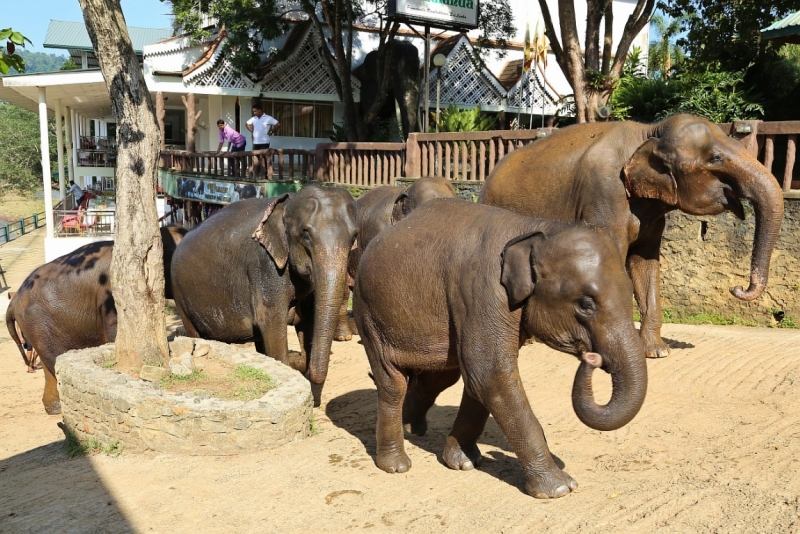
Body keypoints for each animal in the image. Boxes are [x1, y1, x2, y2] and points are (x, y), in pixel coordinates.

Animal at [171, 184, 356, 406]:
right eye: (305, 235)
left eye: (354, 237)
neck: (286, 205)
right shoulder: (264, 265)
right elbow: (271, 323)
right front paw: (289, 361)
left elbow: (309, 322)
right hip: (180, 295)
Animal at [354, 199, 648, 500]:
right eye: (586, 304)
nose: (591, 357)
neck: (534, 228)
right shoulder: (483, 292)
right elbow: (489, 375)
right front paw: (559, 488)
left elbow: (478, 381)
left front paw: (464, 462)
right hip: (368, 313)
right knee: (393, 383)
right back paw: (396, 464)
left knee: (441, 376)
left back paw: (412, 428)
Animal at [478, 116, 784, 360]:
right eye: (716, 158)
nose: (737, 288)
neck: (650, 131)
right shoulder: (604, 198)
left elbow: (645, 264)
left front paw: (657, 352)